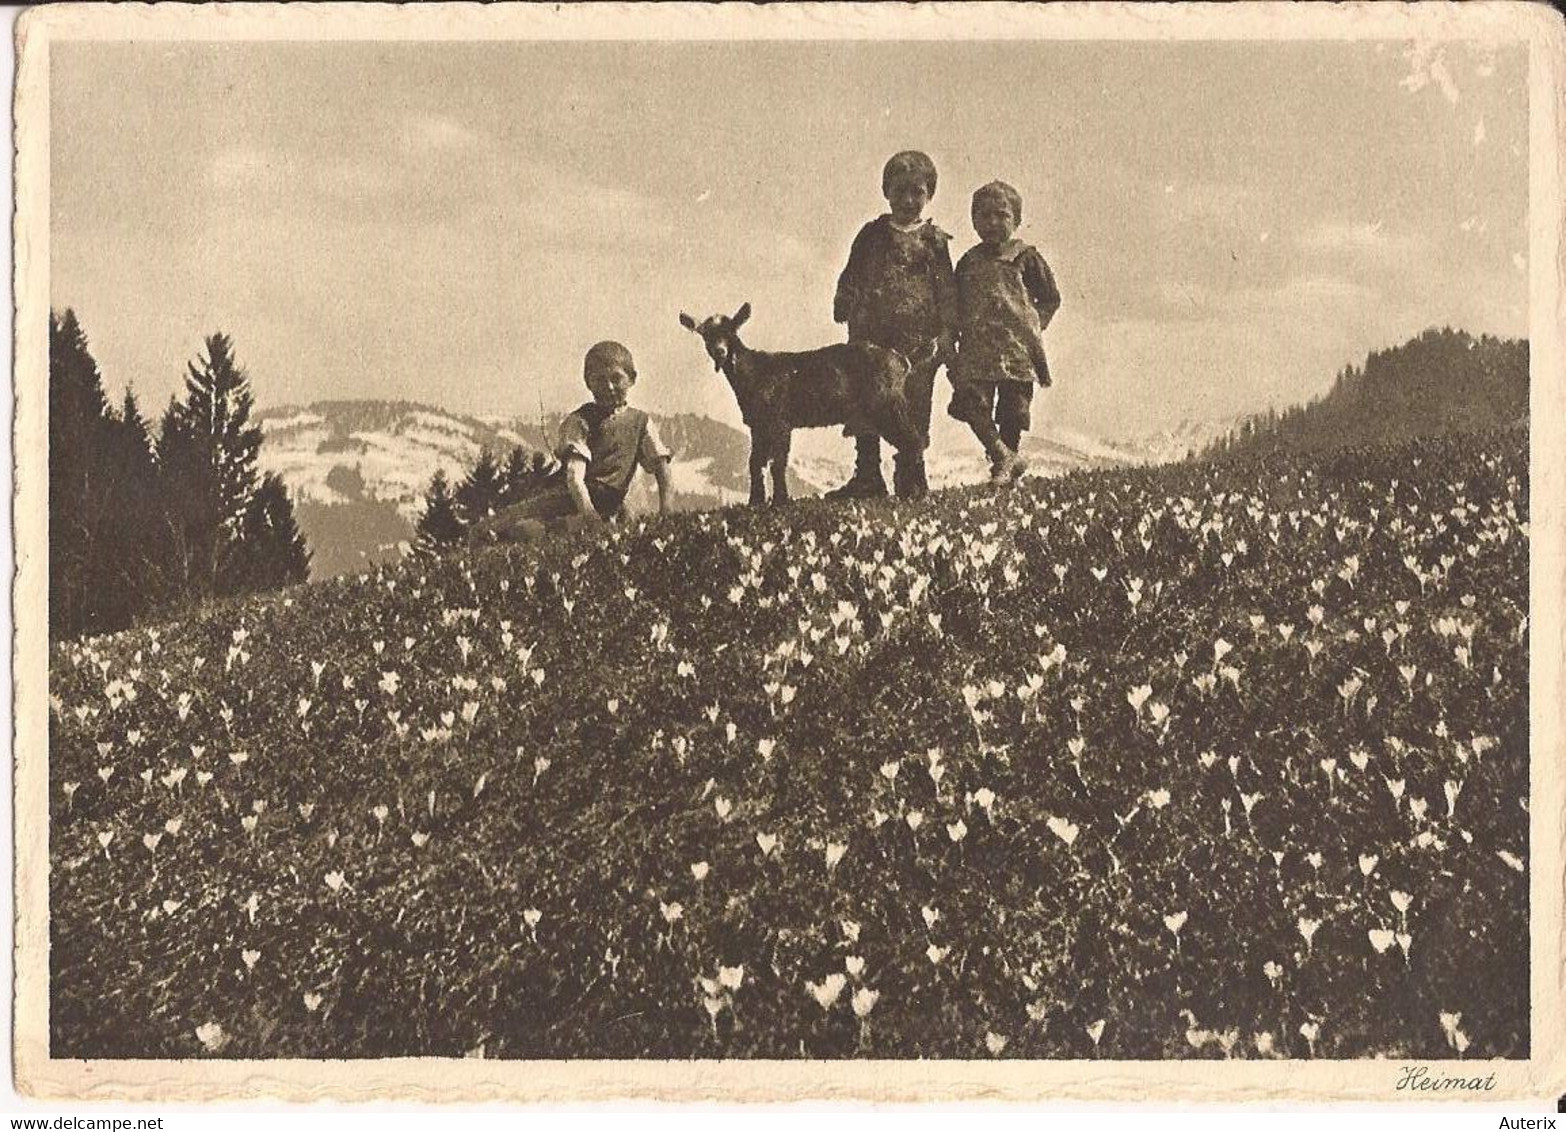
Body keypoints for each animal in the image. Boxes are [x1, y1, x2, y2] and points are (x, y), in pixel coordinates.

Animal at [676, 305, 920, 510]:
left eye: (731, 332)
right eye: (705, 334)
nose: (720, 352)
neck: (755, 373)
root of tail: (902, 361)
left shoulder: (780, 421)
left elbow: (778, 462)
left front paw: (780, 501)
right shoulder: (758, 425)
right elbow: (755, 462)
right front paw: (755, 502)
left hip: (888, 405)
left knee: (912, 440)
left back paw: (915, 494)